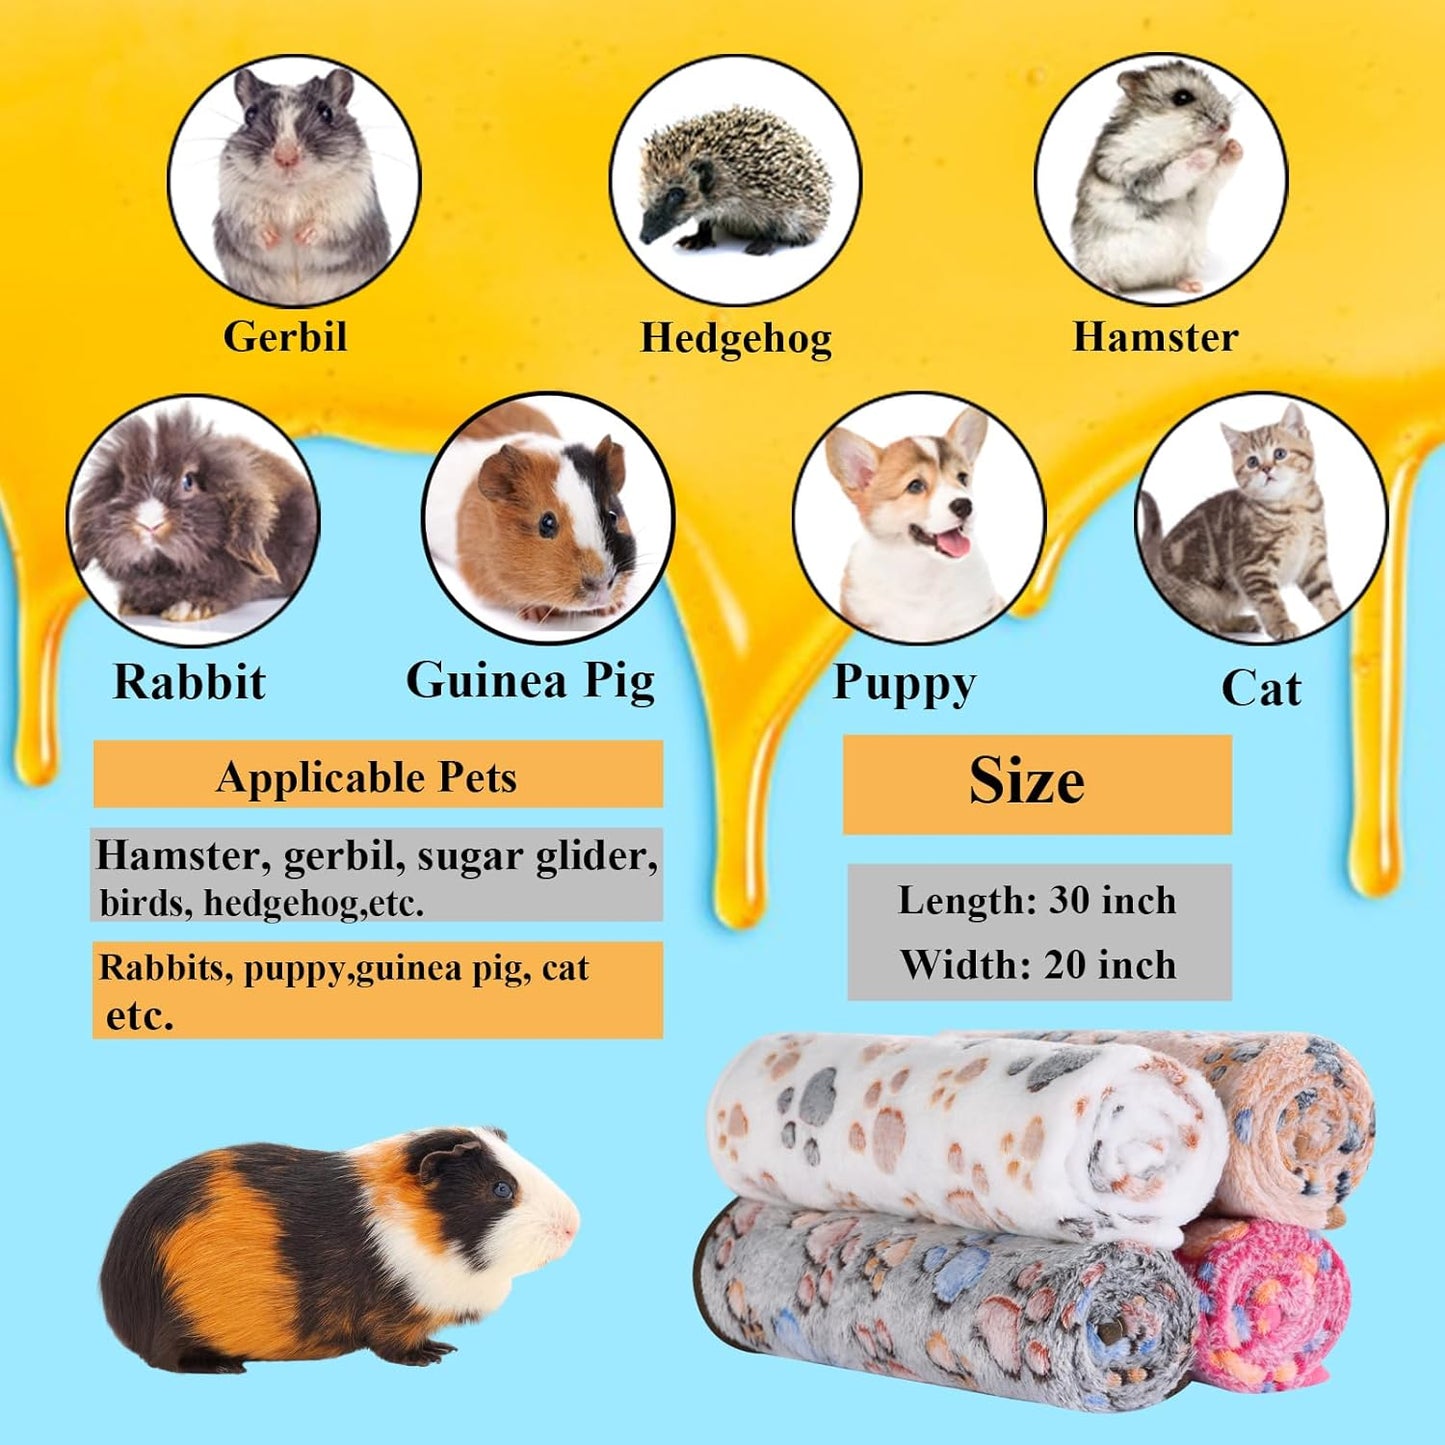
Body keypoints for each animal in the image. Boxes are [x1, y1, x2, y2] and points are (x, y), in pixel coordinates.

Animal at [71, 405, 318, 623]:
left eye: (188, 481)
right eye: (123, 483)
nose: (149, 523)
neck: (164, 568)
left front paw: (189, 609)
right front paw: (133, 606)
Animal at [99, 1126, 580, 1372]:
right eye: (501, 1189)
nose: (572, 1227)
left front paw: (442, 1350)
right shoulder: (394, 1319)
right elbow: (393, 1345)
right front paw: (431, 1358)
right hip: (178, 1338)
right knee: (167, 1361)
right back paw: (227, 1368)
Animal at [213, 67, 391, 306]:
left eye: (326, 112)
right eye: (249, 115)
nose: (286, 158)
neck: (293, 190)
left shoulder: (349, 204)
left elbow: (327, 223)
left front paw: (301, 236)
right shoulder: (237, 200)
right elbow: (252, 224)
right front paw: (273, 237)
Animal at [1071, 61, 1242, 295]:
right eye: (1182, 97)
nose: (1226, 126)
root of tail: (1141, 282)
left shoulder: (1202, 189)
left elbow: (1217, 172)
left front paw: (1233, 146)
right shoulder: (1137, 174)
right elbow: (1175, 171)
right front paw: (1206, 154)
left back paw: (1193, 286)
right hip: (1092, 260)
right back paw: (1108, 287)